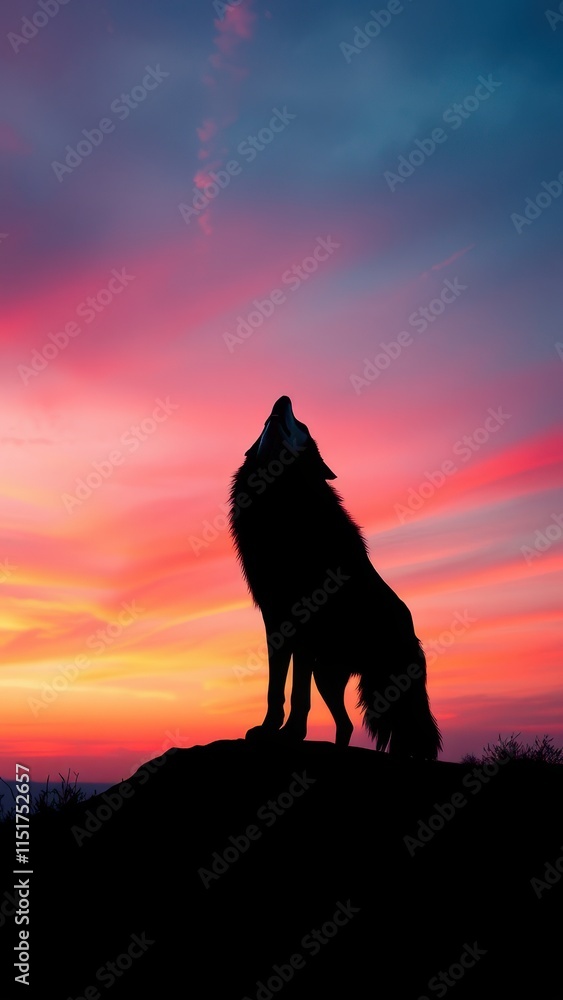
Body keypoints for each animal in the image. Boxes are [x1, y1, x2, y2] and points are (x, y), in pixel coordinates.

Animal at [229, 396, 442, 759]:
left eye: (303, 426)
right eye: (266, 421)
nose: (283, 399)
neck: (281, 503)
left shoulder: (303, 622)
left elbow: (297, 693)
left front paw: (290, 735)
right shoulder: (276, 620)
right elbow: (277, 687)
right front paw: (271, 730)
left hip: (387, 687)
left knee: (410, 732)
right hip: (327, 675)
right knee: (347, 724)